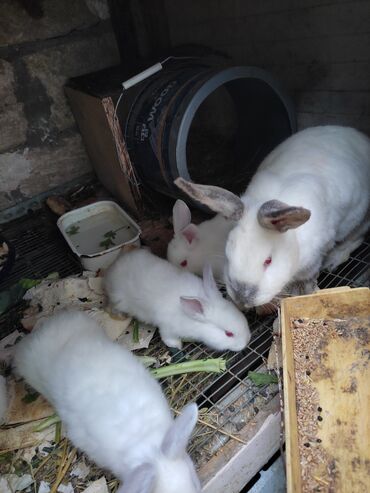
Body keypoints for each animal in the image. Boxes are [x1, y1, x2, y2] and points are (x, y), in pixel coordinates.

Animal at [102, 246, 250, 350]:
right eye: (229, 334)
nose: (247, 340)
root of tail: (113, 266)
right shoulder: (167, 327)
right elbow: (168, 338)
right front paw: (177, 345)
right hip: (118, 300)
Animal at [175, 124, 370, 308]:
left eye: (268, 261)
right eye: (228, 250)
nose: (242, 298)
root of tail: (360, 136)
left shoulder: (315, 258)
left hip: (358, 218)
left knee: (357, 236)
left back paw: (334, 259)